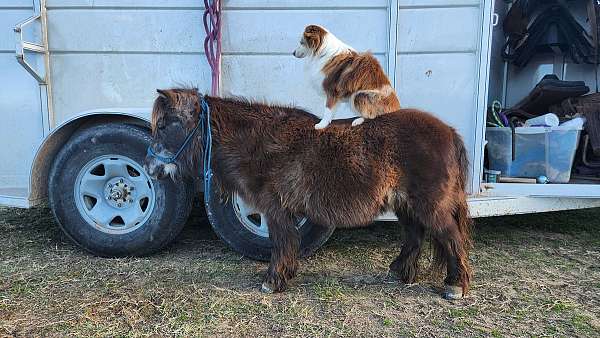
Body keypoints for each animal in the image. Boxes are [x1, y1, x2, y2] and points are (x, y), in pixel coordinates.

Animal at [145, 88, 474, 300]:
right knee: (415, 236)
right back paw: (401, 273)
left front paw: (273, 280)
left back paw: (455, 286)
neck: (257, 142)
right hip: (405, 204)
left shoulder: (275, 209)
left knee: (451, 238)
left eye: (166, 125)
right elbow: (286, 242)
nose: (150, 168)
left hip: (430, 205)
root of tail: (448, 131)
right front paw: (284, 275)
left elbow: (281, 243)